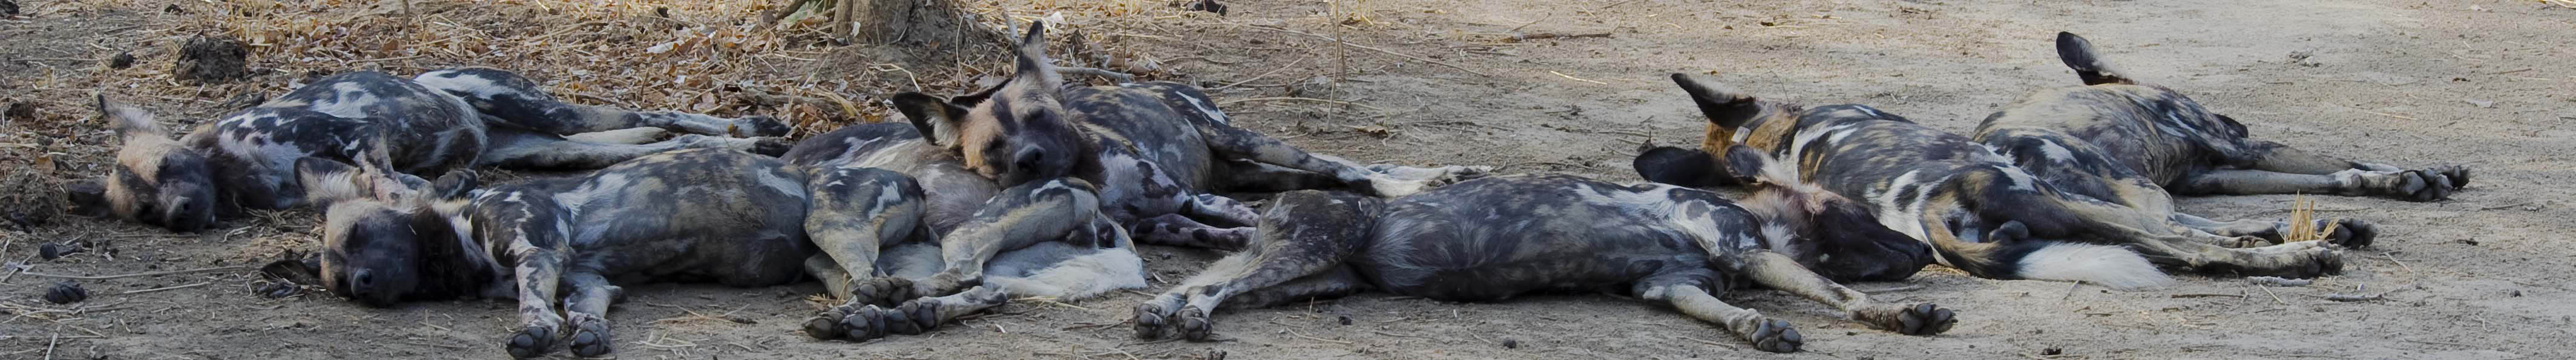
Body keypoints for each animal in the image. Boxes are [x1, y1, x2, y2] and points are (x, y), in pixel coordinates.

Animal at [1133, 144, 1947, 352]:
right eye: (1861, 217)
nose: (1923, 254)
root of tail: (1276, 203)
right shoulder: (1742, 250)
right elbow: (1838, 292)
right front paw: (1900, 317)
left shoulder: (1671, 285)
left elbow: (1735, 315)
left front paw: (1758, 329)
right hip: (1309, 251)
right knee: (1211, 289)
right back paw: (1181, 321)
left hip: (1314, 278)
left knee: (1204, 282)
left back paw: (1161, 314)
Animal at [1968, 32, 2472, 242]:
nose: (2238, 122)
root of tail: (1993, 150)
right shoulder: (2237, 147)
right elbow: (2348, 162)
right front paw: (2413, 178)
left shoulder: (2208, 175)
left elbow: (2334, 174)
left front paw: (2436, 172)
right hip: (2136, 184)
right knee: (2166, 227)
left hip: (2131, 190)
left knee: (2172, 222)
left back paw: (2289, 230)